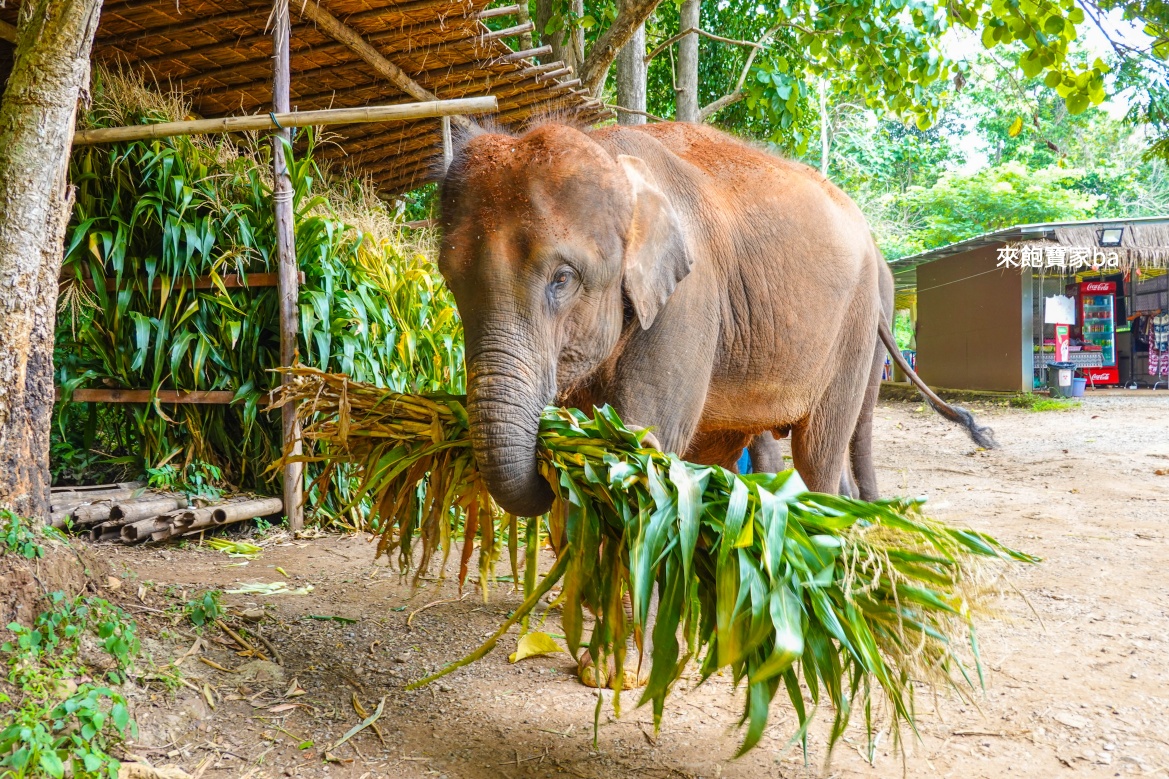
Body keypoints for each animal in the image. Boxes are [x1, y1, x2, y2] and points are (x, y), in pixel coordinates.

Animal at [437, 120, 994, 685]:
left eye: (562, 279)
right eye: (450, 281)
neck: (609, 149)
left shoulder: (688, 299)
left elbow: (640, 451)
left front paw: (616, 673)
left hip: (854, 329)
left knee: (819, 452)